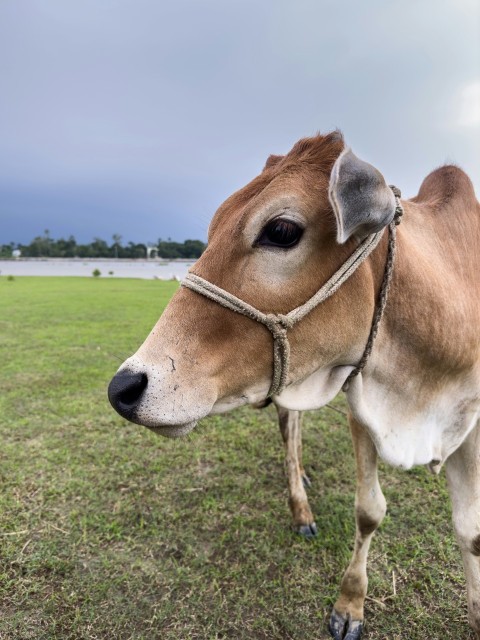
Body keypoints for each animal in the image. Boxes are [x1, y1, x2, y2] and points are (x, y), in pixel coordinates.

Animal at [109, 132, 480, 636]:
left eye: (281, 231)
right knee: (289, 426)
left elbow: (470, 531)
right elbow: (369, 511)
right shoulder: (362, 408)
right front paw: (349, 605)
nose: (124, 388)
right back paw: (300, 505)